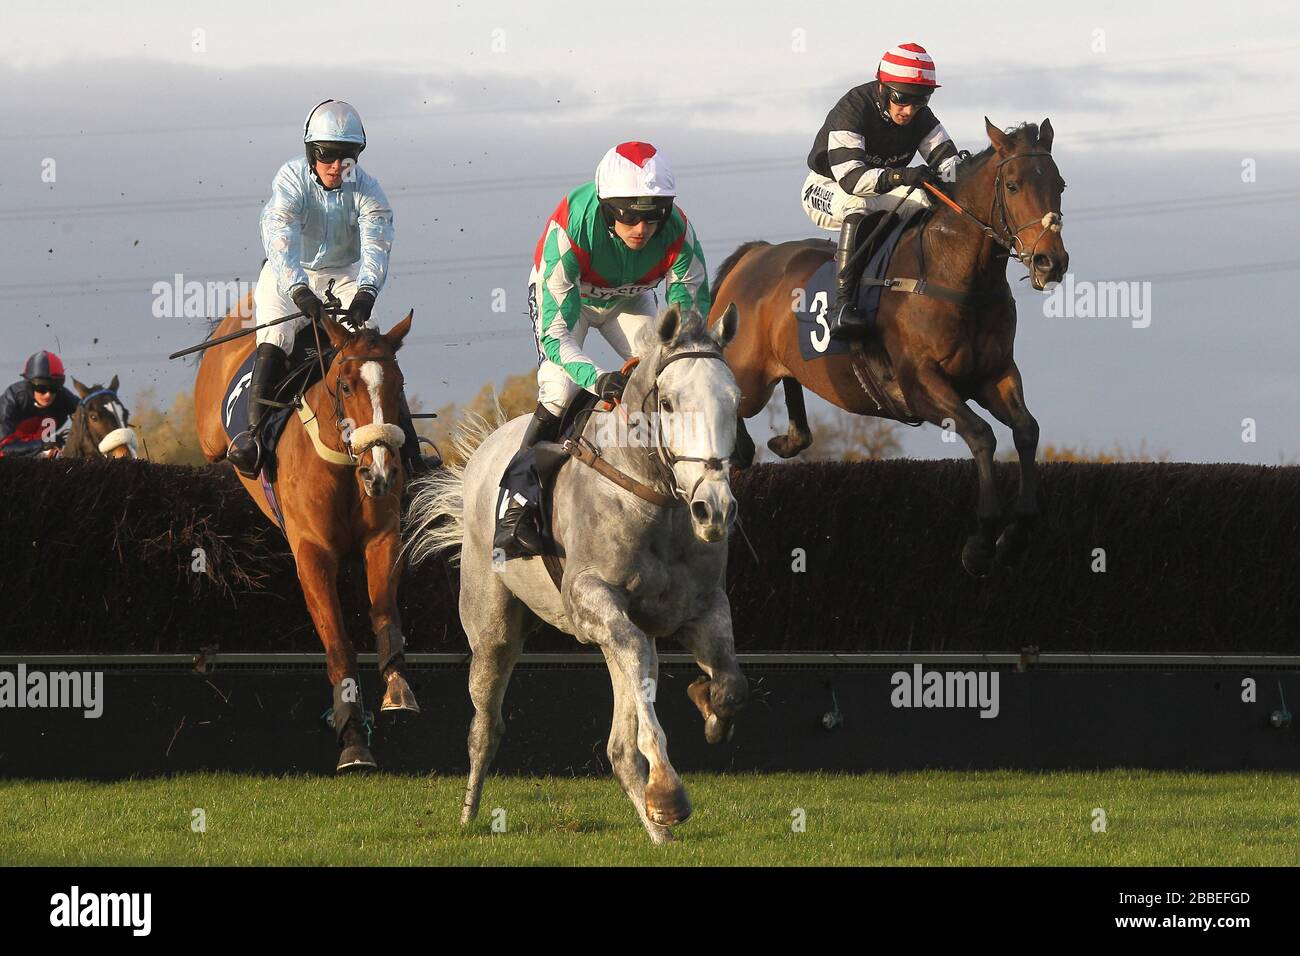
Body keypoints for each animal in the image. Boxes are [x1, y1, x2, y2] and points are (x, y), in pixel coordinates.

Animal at [192, 291, 418, 770]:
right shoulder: (312, 554)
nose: (381, 472)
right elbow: (338, 644)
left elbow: (385, 612)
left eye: (398, 385)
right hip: (211, 434)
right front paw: (353, 739)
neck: (344, 468)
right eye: (346, 385)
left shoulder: (383, 537)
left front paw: (397, 688)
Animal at [405, 306, 754, 842]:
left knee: (621, 743)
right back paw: (468, 814)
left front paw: (711, 709)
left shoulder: (704, 607)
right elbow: (640, 667)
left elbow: (730, 683)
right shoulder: (591, 600)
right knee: (486, 726)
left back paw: (658, 831)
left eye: (734, 403)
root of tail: (485, 451)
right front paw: (668, 792)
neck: (651, 496)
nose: (714, 509)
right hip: (492, 629)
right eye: (669, 403)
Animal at [712, 115, 1066, 572]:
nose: (1050, 262)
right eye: (1013, 185)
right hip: (750, 379)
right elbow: (982, 435)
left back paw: (786, 439)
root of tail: (753, 255)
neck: (952, 274)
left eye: (1060, 183)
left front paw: (1018, 532)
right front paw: (982, 539)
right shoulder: (920, 383)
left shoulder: (994, 374)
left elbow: (1026, 430)